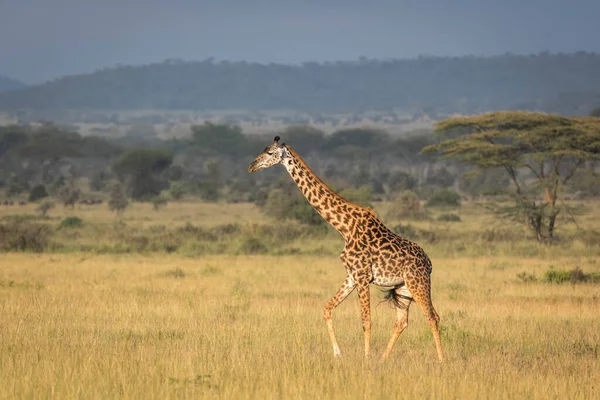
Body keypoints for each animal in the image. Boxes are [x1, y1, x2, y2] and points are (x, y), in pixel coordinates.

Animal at [250, 135, 446, 362]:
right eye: (263, 149)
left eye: (270, 153)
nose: (251, 165)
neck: (344, 227)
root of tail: (429, 263)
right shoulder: (351, 276)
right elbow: (327, 309)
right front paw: (338, 353)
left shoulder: (362, 275)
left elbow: (366, 320)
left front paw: (366, 359)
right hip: (403, 289)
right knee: (401, 321)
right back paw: (384, 359)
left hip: (418, 283)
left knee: (432, 316)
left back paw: (441, 360)